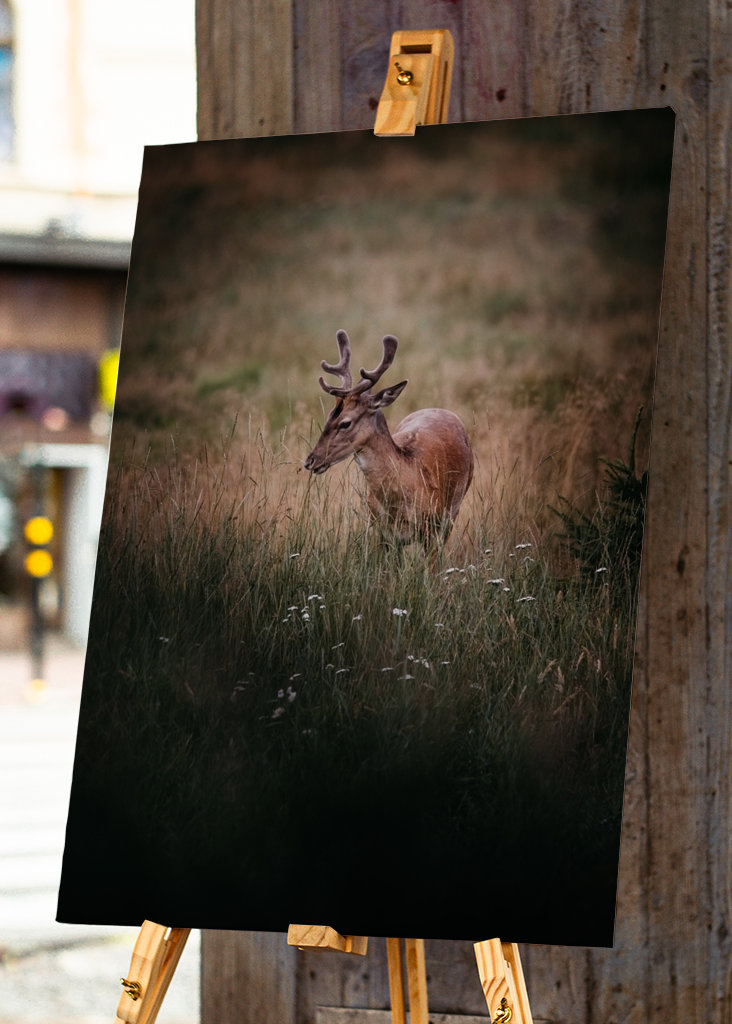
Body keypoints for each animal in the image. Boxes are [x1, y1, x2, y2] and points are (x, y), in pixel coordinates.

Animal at [304, 330, 474, 550]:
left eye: (345, 423)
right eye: (329, 416)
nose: (310, 460)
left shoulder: (433, 529)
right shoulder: (381, 532)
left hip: (455, 508)